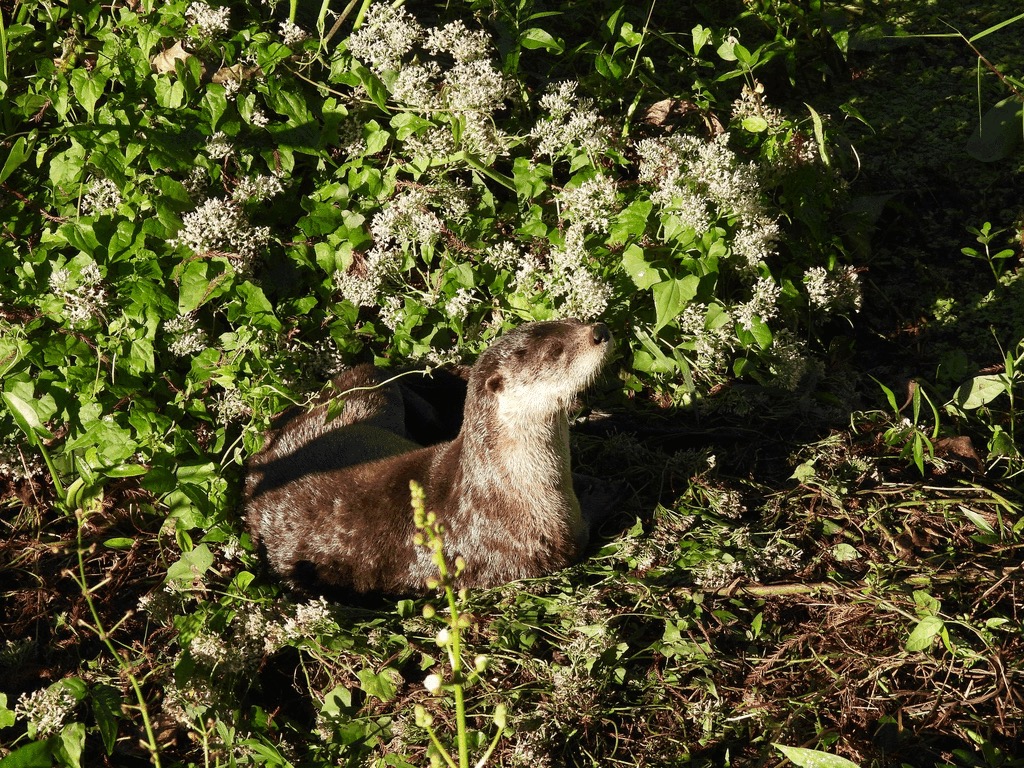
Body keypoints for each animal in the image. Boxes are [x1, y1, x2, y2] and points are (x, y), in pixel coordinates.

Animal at [244, 319, 614, 595]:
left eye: (572, 320)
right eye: (555, 352)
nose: (599, 330)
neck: (507, 488)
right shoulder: (553, 541)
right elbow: (589, 524)